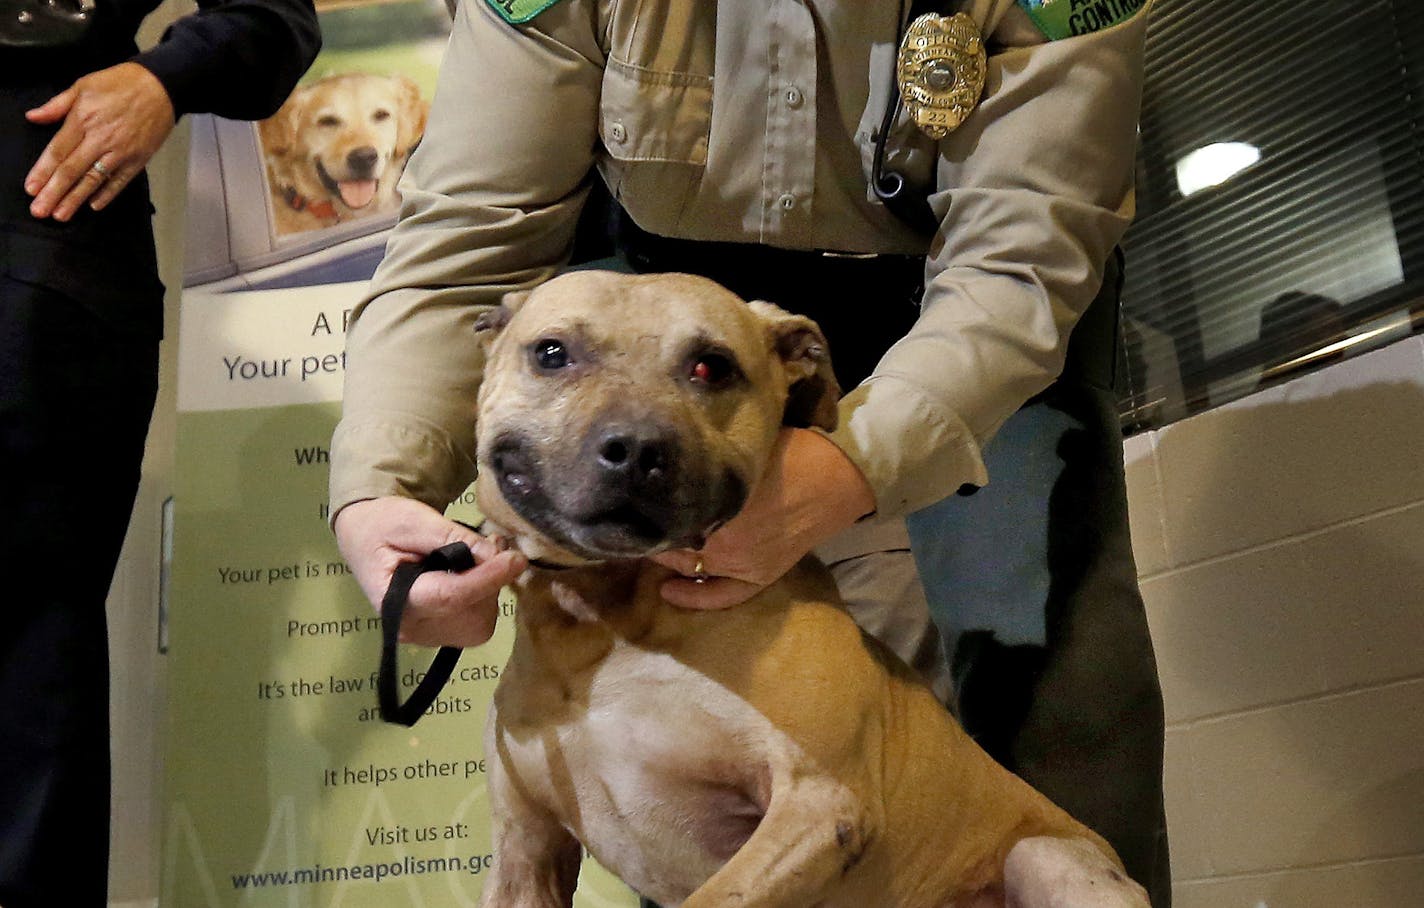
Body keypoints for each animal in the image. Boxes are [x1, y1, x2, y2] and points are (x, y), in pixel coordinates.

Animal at [467, 271, 1144, 908]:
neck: (603, 616)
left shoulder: (818, 802)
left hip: (1046, 857)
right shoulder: (525, 850)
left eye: (712, 366)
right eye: (551, 353)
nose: (636, 449)